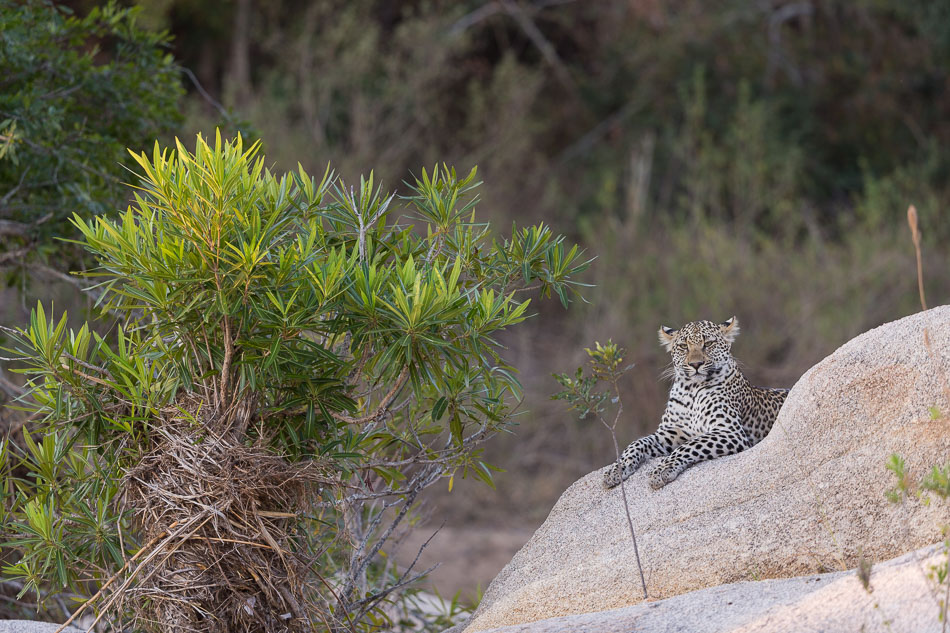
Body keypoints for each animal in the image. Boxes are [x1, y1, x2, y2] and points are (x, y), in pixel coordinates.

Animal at [608, 316, 792, 488]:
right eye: (684, 346)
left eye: (708, 344)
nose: (696, 364)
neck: (692, 390)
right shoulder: (674, 430)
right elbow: (638, 442)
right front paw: (617, 469)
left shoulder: (730, 431)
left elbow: (689, 446)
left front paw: (662, 470)